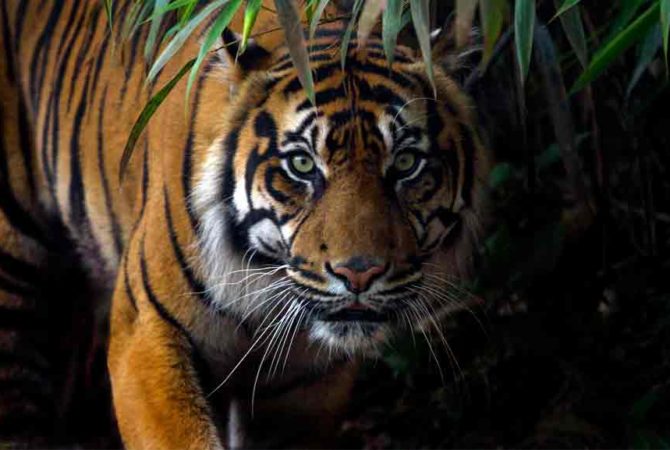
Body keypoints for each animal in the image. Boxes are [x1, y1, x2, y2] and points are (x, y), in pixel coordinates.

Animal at [0, 0, 489, 447]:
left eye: (405, 163)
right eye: (301, 165)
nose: (359, 274)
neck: (262, 282)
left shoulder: (302, 385)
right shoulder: (146, 333)